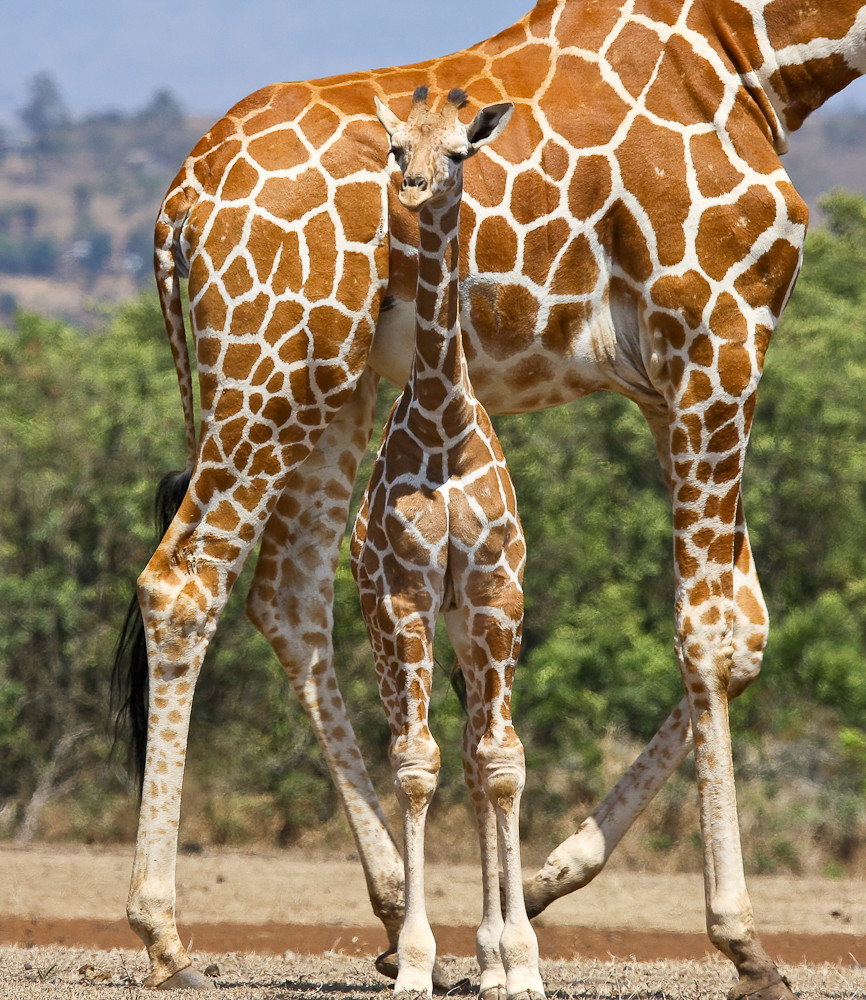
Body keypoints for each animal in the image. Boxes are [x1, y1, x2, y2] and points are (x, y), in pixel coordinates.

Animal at [118, 1, 864, 992]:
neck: (755, 56)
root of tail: (180, 204)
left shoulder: (664, 379)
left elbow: (745, 630)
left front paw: (540, 888)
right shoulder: (718, 332)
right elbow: (712, 636)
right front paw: (742, 940)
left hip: (334, 385)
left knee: (288, 596)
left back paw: (395, 908)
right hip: (268, 366)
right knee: (185, 584)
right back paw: (165, 934)